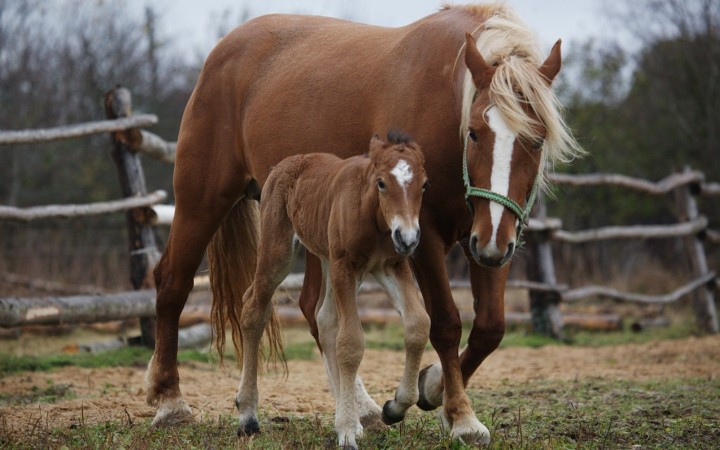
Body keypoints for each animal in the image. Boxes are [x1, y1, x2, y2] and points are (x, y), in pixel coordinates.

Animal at [145, 2, 580, 446]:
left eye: (537, 139)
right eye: (474, 133)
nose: (492, 242)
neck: (445, 94)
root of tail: (221, 52)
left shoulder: (490, 235)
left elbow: (490, 327)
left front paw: (431, 388)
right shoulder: (428, 237)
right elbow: (445, 323)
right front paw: (461, 416)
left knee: (315, 311)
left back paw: (363, 409)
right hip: (202, 204)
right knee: (172, 283)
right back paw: (170, 403)